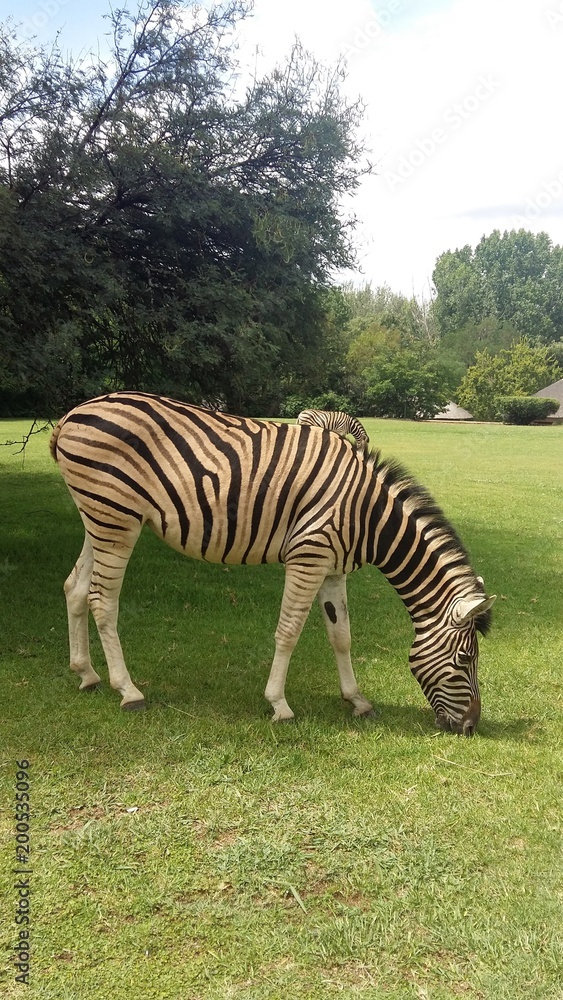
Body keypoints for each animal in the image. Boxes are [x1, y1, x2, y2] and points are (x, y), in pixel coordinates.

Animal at [50, 391, 495, 735]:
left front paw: (357, 700)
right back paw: (128, 691)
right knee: (103, 599)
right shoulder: (308, 556)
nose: (471, 727)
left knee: (75, 587)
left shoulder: (333, 569)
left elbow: (341, 636)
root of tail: (72, 414)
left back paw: (86, 674)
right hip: (117, 519)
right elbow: (289, 632)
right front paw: (279, 704)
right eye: (465, 660)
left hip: (102, 519)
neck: (368, 514)